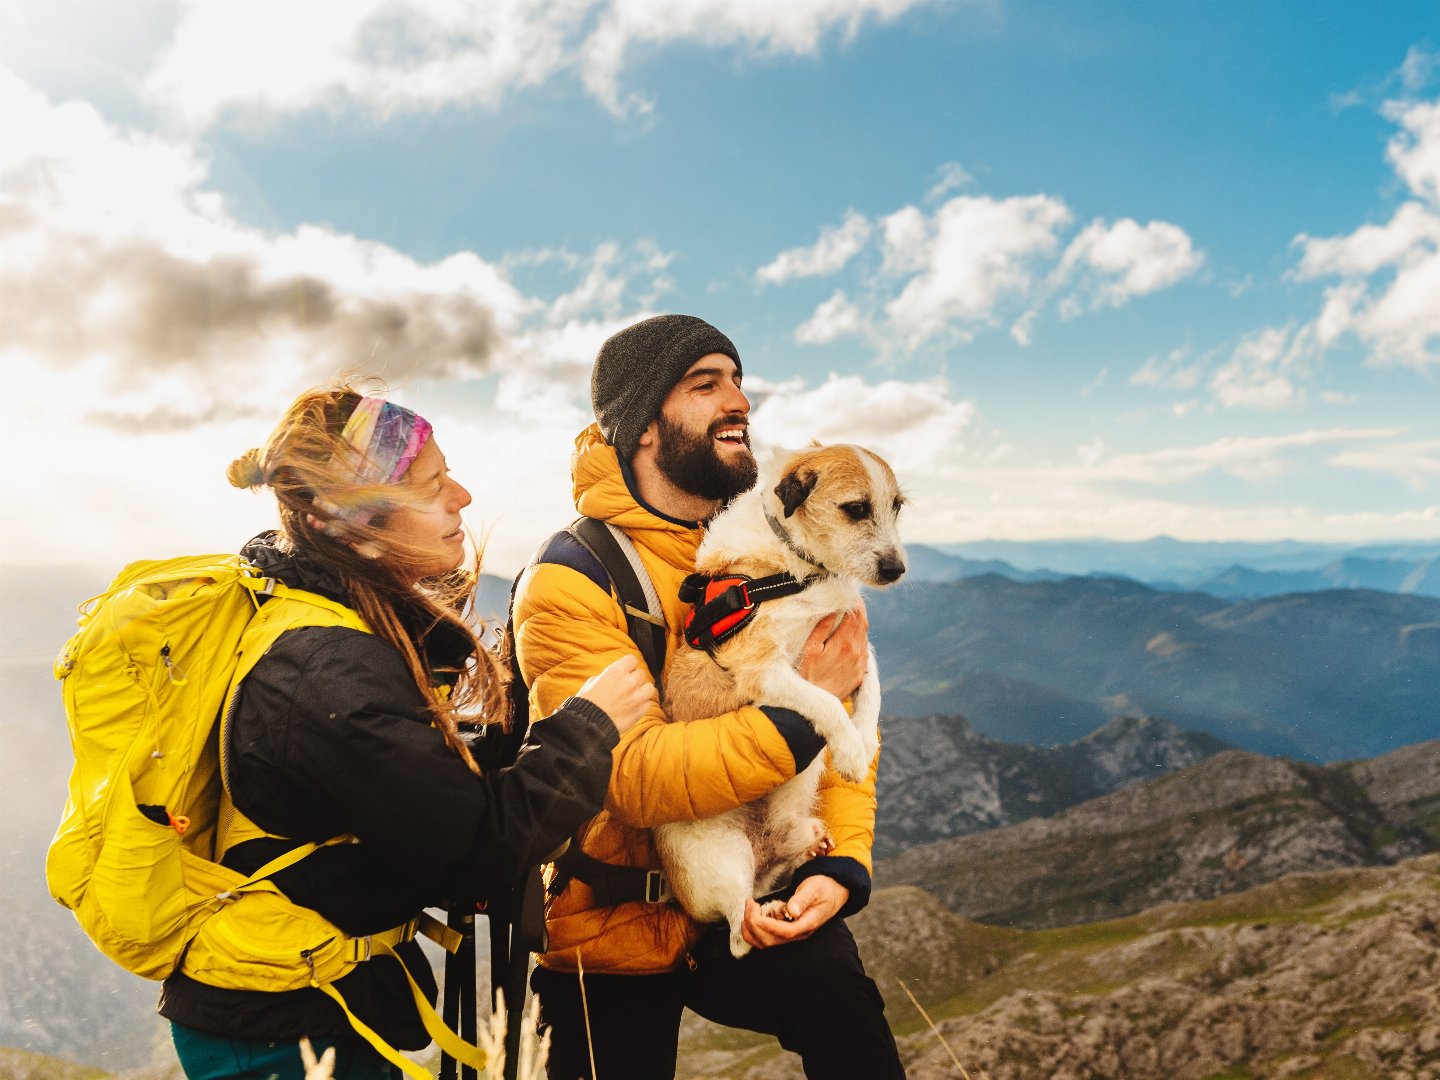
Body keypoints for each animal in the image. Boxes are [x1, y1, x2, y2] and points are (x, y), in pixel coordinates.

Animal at [656, 443, 904, 961]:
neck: (796, 566)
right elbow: (825, 701)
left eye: (897, 507)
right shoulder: (765, 668)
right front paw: (849, 751)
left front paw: (864, 742)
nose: (897, 570)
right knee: (738, 934)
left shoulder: (855, 637)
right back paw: (766, 914)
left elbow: (870, 688)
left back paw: (803, 843)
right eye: (856, 508)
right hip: (722, 859)